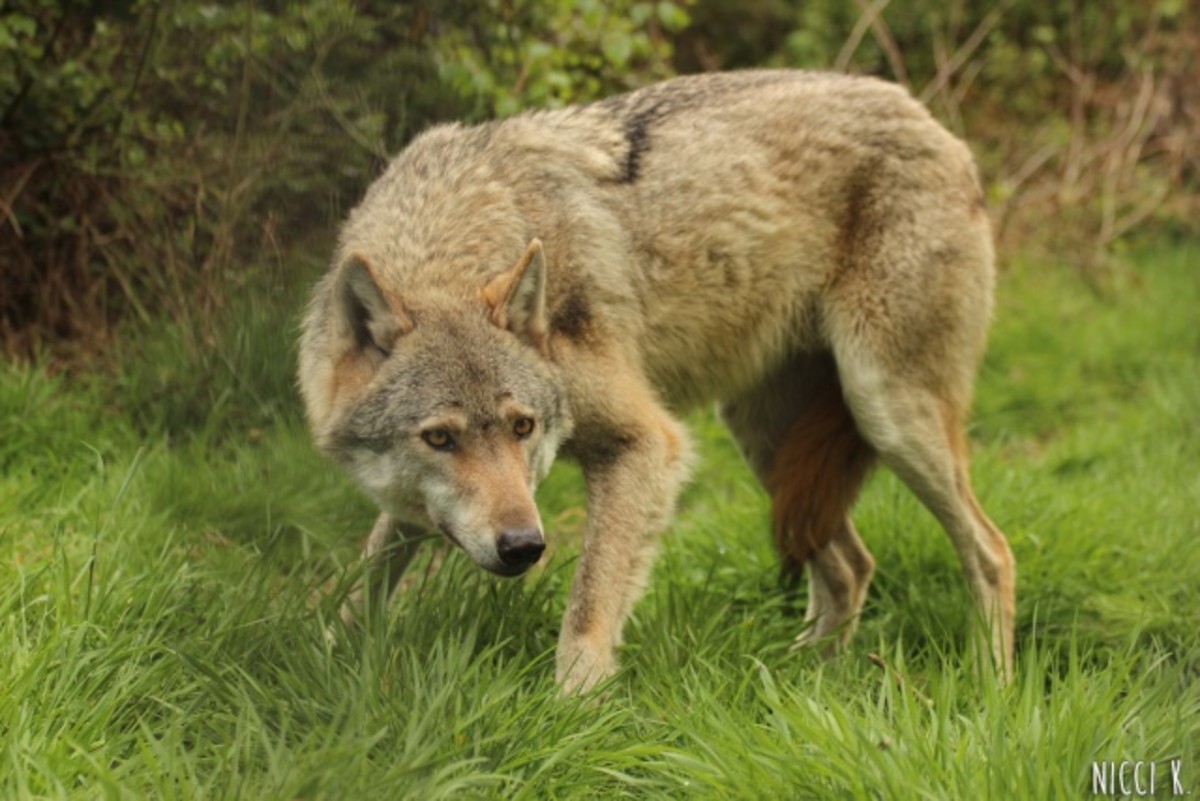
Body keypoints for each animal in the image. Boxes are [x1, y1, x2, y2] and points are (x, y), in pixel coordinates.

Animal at [298, 69, 1016, 693]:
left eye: (522, 426)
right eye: (439, 439)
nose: (524, 546)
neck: (459, 231)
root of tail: (937, 124)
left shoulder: (646, 443)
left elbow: (588, 607)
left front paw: (573, 714)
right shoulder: (414, 510)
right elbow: (362, 583)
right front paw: (324, 662)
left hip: (884, 412)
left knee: (992, 552)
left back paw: (990, 687)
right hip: (766, 440)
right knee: (850, 567)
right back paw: (801, 677)